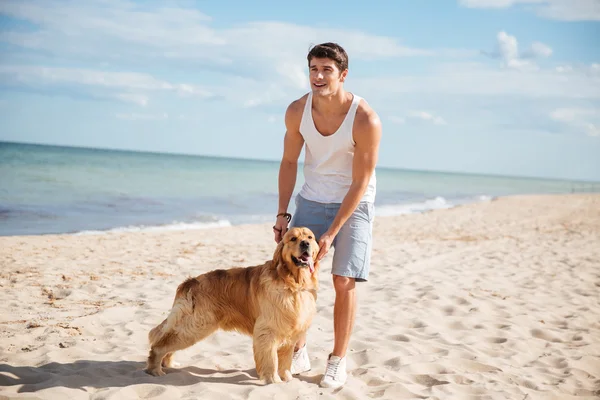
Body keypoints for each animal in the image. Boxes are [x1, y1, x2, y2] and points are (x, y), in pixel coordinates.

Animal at [145, 227, 322, 382]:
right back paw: (155, 369)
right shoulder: (268, 330)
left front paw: (287, 378)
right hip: (195, 326)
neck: (293, 283)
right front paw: (273, 380)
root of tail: (190, 282)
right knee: (159, 346)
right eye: (293, 239)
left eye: (310, 237)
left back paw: (169, 363)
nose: (305, 243)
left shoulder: (290, 331)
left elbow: (285, 361)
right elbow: (271, 359)